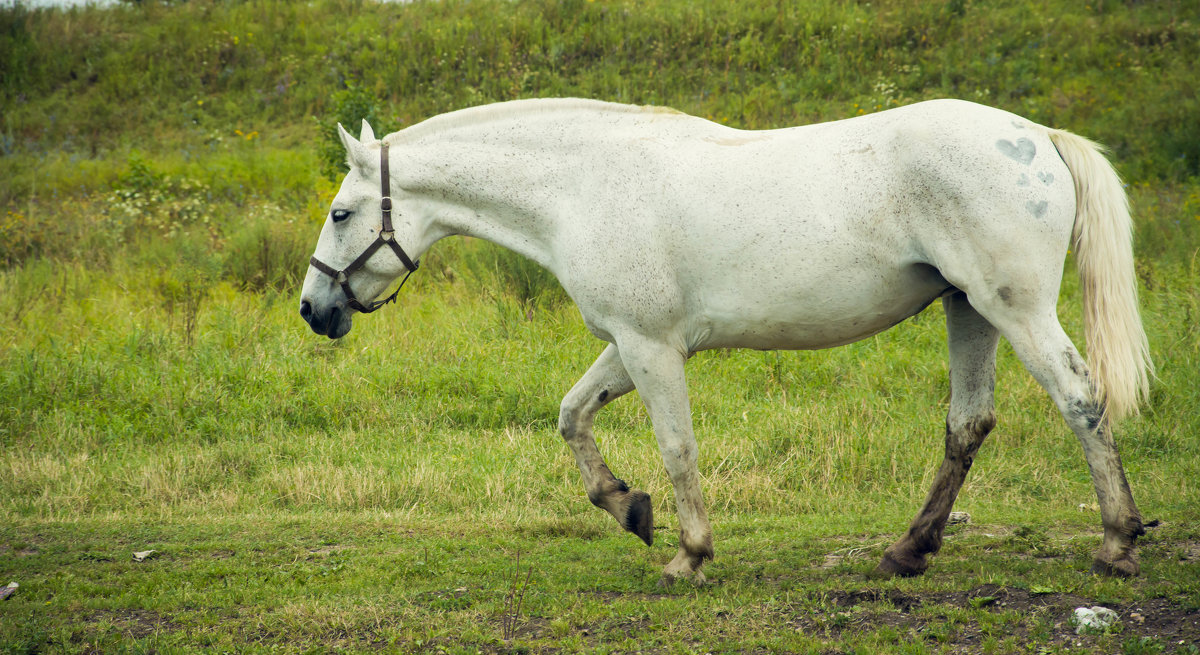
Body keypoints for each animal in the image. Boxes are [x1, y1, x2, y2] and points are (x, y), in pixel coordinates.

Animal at [300, 98, 1152, 580]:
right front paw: (628, 506)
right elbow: (572, 416)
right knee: (967, 425)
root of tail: (1036, 135)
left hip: (1016, 310)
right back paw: (907, 551)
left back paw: (1117, 543)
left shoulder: (651, 348)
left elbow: (677, 446)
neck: (585, 185)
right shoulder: (627, 344)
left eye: (341, 212)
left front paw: (689, 553)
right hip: (968, 310)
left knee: (1081, 398)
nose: (313, 309)